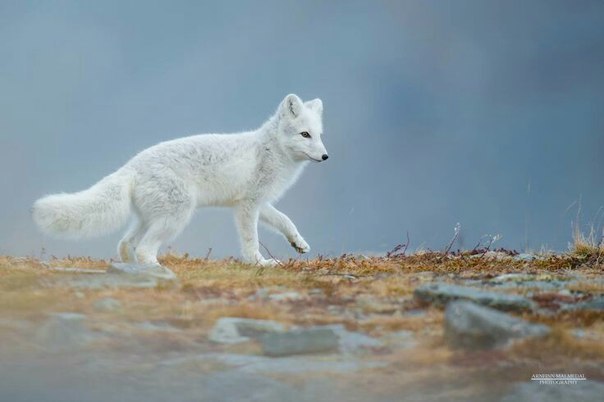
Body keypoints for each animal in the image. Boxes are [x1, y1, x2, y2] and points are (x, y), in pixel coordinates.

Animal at [33, 92, 328, 266]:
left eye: (319, 135)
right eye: (305, 134)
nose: (326, 156)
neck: (270, 150)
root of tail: (130, 167)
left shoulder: (257, 203)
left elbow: (285, 220)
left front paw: (298, 244)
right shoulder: (247, 206)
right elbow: (250, 240)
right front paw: (260, 263)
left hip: (150, 218)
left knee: (125, 243)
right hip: (176, 216)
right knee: (143, 249)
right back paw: (156, 270)